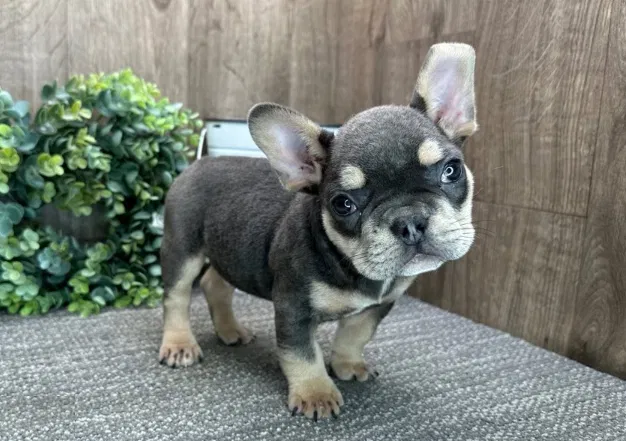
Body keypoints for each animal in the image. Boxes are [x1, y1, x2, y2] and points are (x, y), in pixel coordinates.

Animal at [158, 42, 478, 420]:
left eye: (451, 170)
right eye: (343, 204)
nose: (409, 221)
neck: (349, 263)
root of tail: (197, 164)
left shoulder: (376, 306)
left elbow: (355, 334)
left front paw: (348, 364)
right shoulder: (293, 308)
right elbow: (302, 354)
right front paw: (316, 393)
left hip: (228, 248)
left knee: (215, 284)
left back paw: (230, 330)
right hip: (182, 248)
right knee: (176, 297)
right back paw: (179, 344)